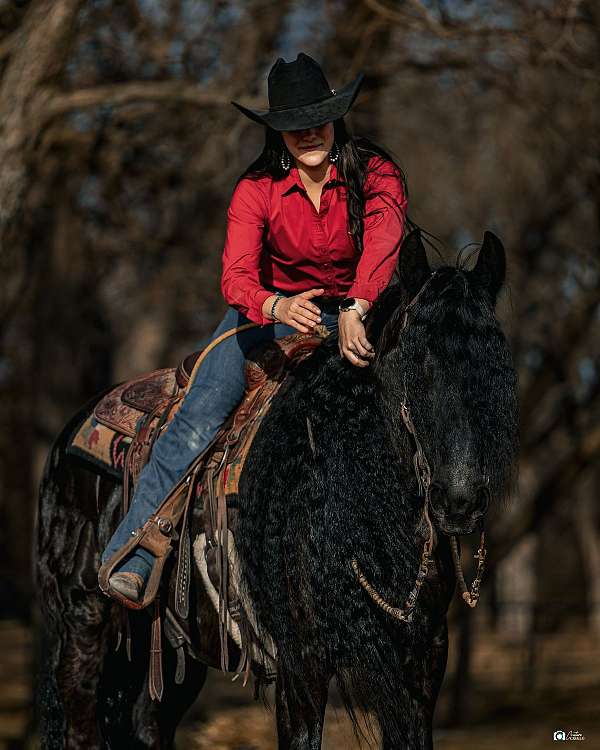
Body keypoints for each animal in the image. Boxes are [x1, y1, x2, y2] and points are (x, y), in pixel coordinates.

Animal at [35, 231, 516, 750]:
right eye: (413, 360)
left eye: (494, 365)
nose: (460, 501)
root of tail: (68, 437)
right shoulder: (301, 663)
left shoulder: (423, 663)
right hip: (82, 622)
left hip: (165, 651)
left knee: (147, 725)